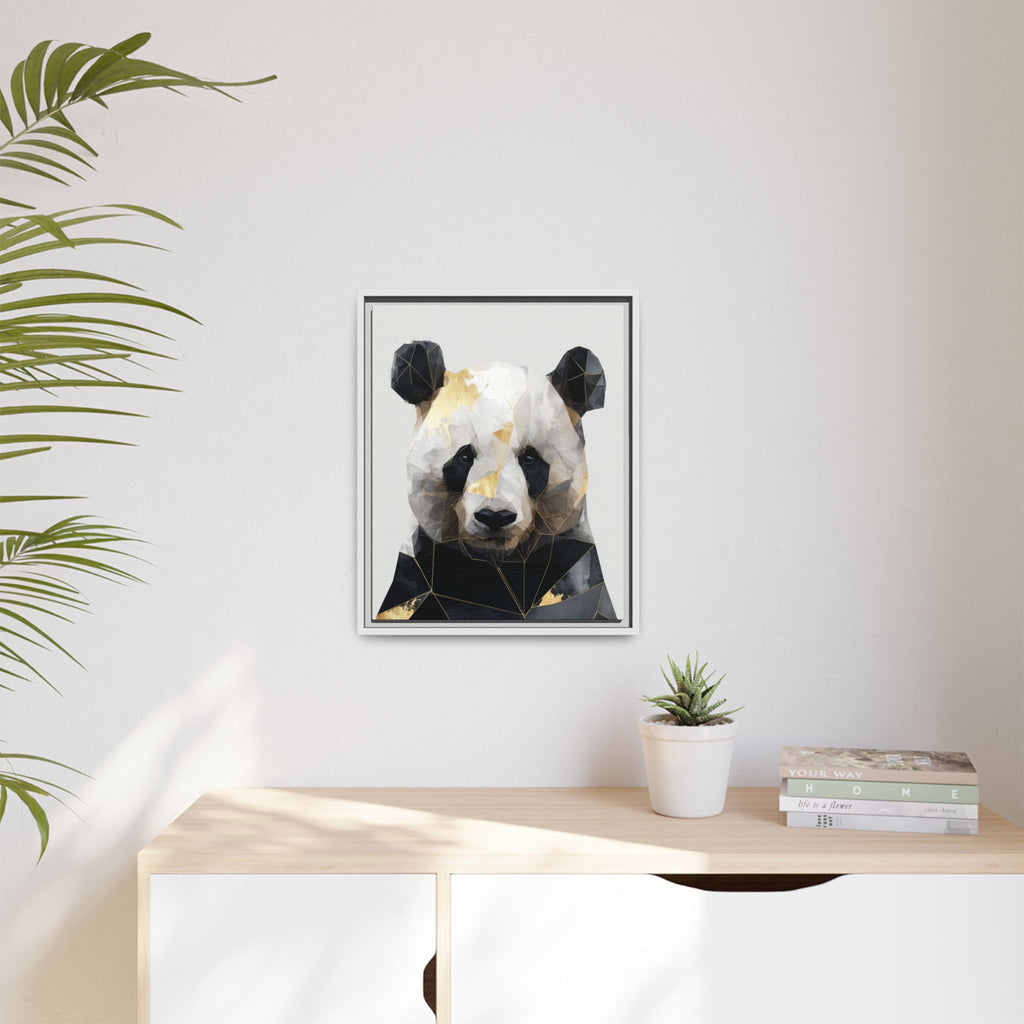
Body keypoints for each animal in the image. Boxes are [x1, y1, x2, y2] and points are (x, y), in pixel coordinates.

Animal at [376, 340, 618, 622]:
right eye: (464, 456)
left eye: (529, 458)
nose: (495, 516)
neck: (499, 564)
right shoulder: (420, 575)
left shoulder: (570, 567)